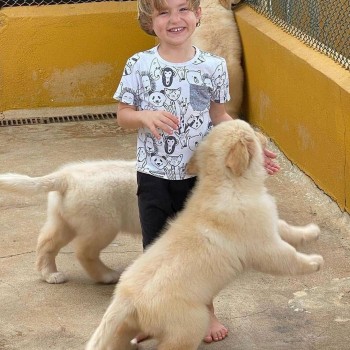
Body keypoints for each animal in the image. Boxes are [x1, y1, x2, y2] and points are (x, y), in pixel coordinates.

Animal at [0, 160, 139, 284]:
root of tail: (66, 177)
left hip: (63, 219)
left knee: (47, 243)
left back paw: (51, 275)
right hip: (103, 223)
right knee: (84, 252)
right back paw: (107, 275)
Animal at [86, 119, 324, 350]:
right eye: (250, 131)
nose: (263, 135)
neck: (228, 184)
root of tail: (124, 297)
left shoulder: (266, 222)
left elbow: (287, 228)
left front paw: (310, 232)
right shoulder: (264, 246)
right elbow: (289, 258)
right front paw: (314, 262)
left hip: (128, 325)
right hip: (190, 323)